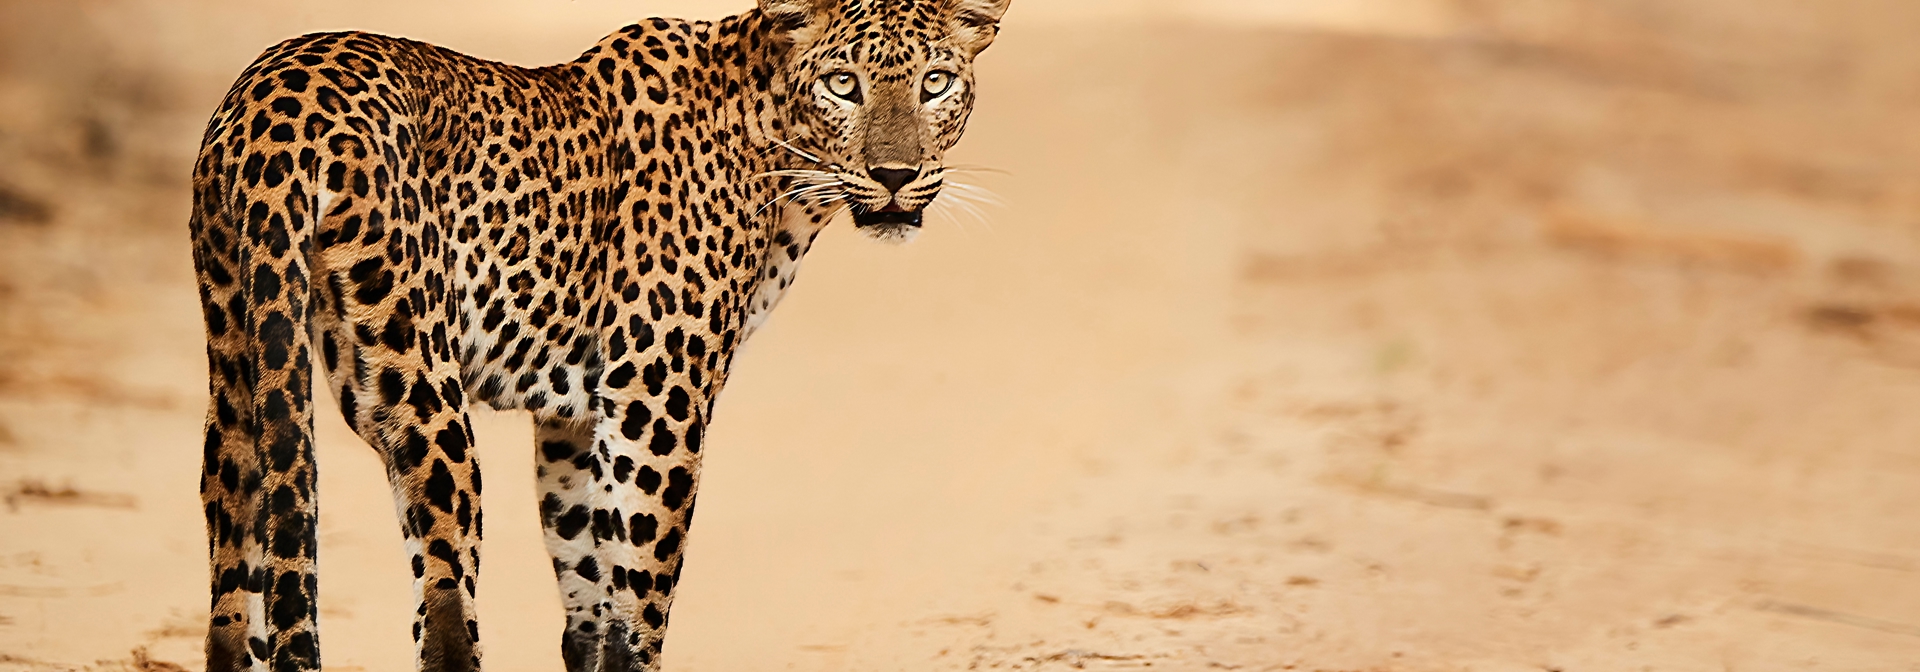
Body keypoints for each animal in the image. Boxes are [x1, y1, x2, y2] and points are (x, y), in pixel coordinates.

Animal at [185, 1, 1011, 670]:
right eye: (843, 84)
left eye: (936, 83)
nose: (896, 174)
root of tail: (274, 108)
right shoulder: (655, 400)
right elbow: (643, 597)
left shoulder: (574, 419)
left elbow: (590, 596)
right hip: (423, 395)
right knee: (444, 616)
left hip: (241, 367)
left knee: (230, 597)